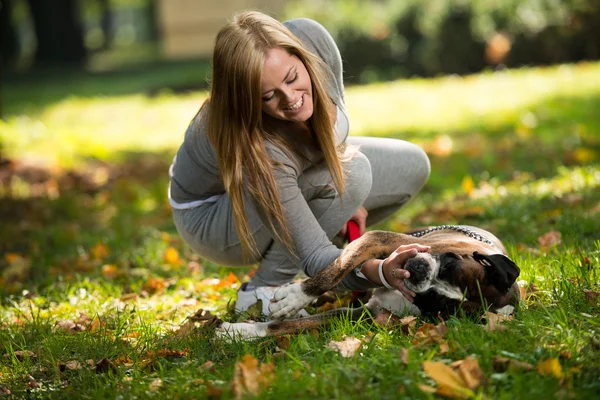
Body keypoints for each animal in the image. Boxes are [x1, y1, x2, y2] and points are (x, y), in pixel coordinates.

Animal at [216, 225, 520, 338]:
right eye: (449, 264)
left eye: (434, 301)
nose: (420, 273)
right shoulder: (380, 240)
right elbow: (337, 268)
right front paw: (296, 296)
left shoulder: (365, 314)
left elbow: (285, 326)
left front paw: (239, 331)